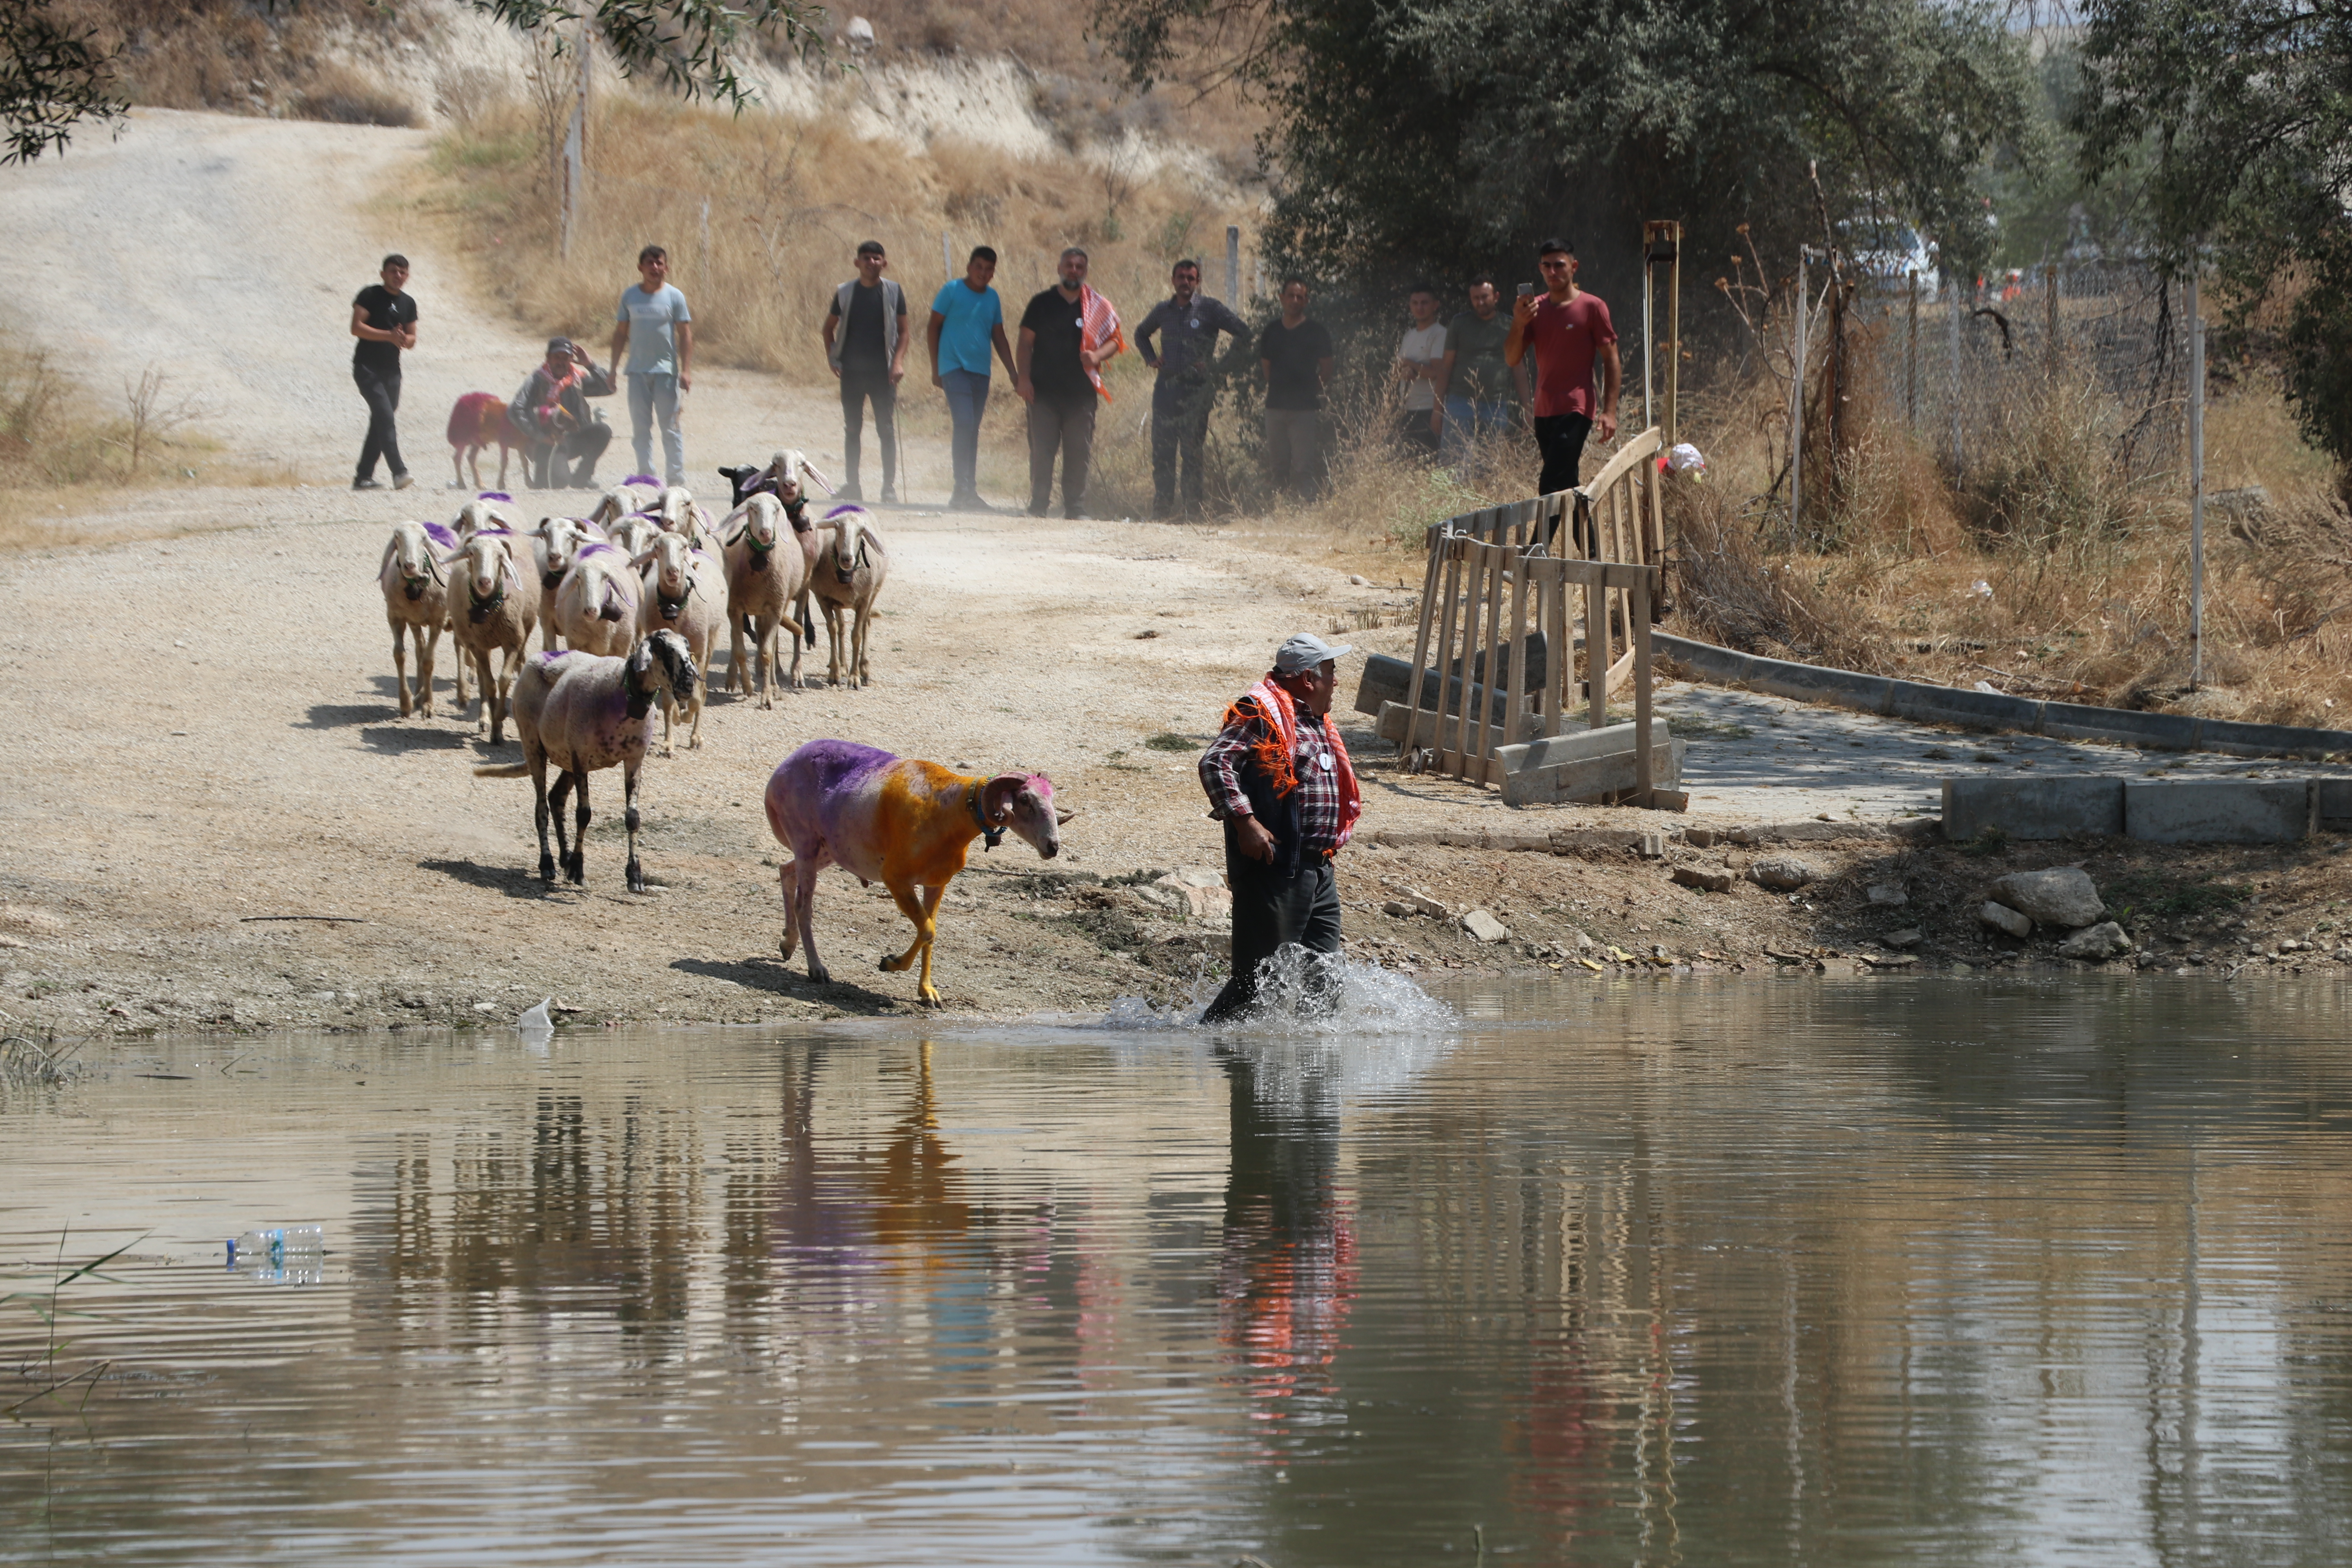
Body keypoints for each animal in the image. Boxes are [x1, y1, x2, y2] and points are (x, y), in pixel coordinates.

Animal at [470, 630, 691, 893]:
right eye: (664, 650)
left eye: (687, 648)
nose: (689, 684)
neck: (620, 690)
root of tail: (540, 656)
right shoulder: (581, 758)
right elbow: (583, 814)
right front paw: (578, 869)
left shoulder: (634, 760)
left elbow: (633, 818)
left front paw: (635, 876)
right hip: (535, 745)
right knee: (541, 808)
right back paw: (548, 864)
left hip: (566, 755)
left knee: (556, 798)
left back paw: (564, 858)